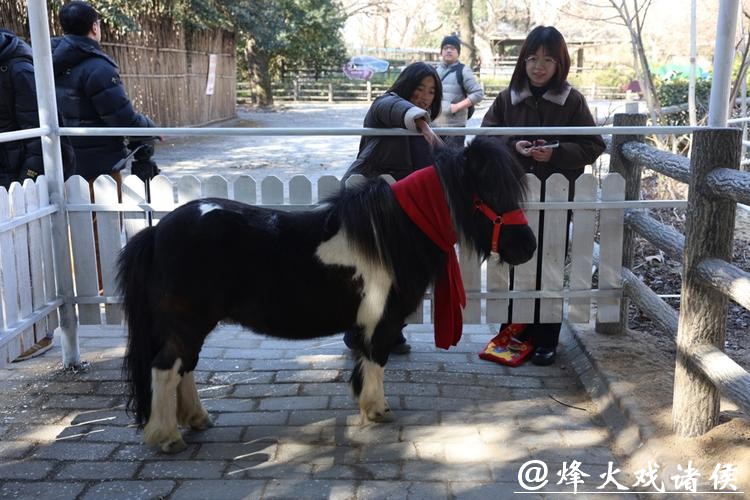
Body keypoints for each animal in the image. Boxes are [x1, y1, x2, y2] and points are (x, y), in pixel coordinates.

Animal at [117, 137, 537, 453]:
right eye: (486, 194)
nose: (527, 247)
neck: (392, 236)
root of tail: (157, 231)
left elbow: (366, 360)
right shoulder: (382, 321)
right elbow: (377, 359)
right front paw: (377, 410)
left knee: (184, 366)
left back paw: (197, 420)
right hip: (187, 321)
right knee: (166, 367)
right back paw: (167, 437)